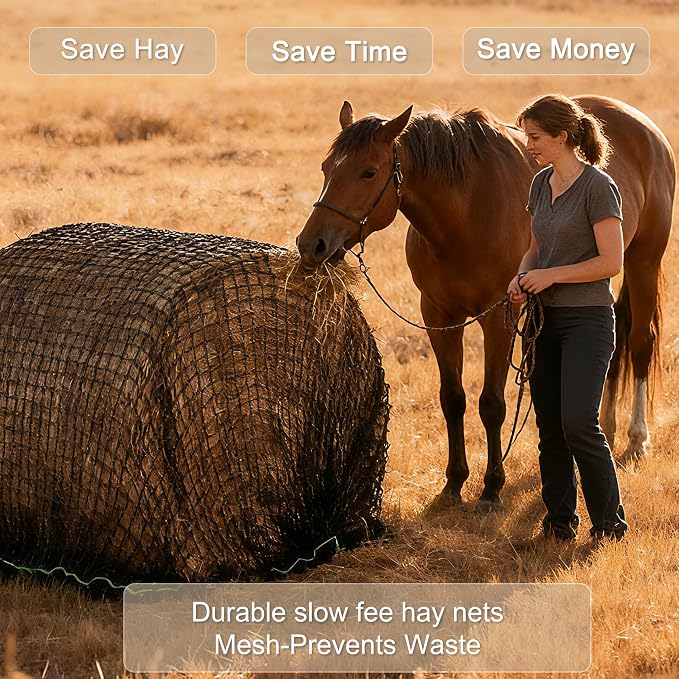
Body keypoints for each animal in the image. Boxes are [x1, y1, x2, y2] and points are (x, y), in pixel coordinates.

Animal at [296, 96, 675, 510]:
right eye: (326, 168)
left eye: (368, 172)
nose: (311, 244)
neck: (467, 212)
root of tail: (643, 127)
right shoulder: (438, 317)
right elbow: (452, 399)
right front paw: (453, 484)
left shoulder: (499, 318)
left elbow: (491, 404)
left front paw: (492, 488)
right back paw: (606, 427)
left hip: (643, 261)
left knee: (640, 342)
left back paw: (637, 438)